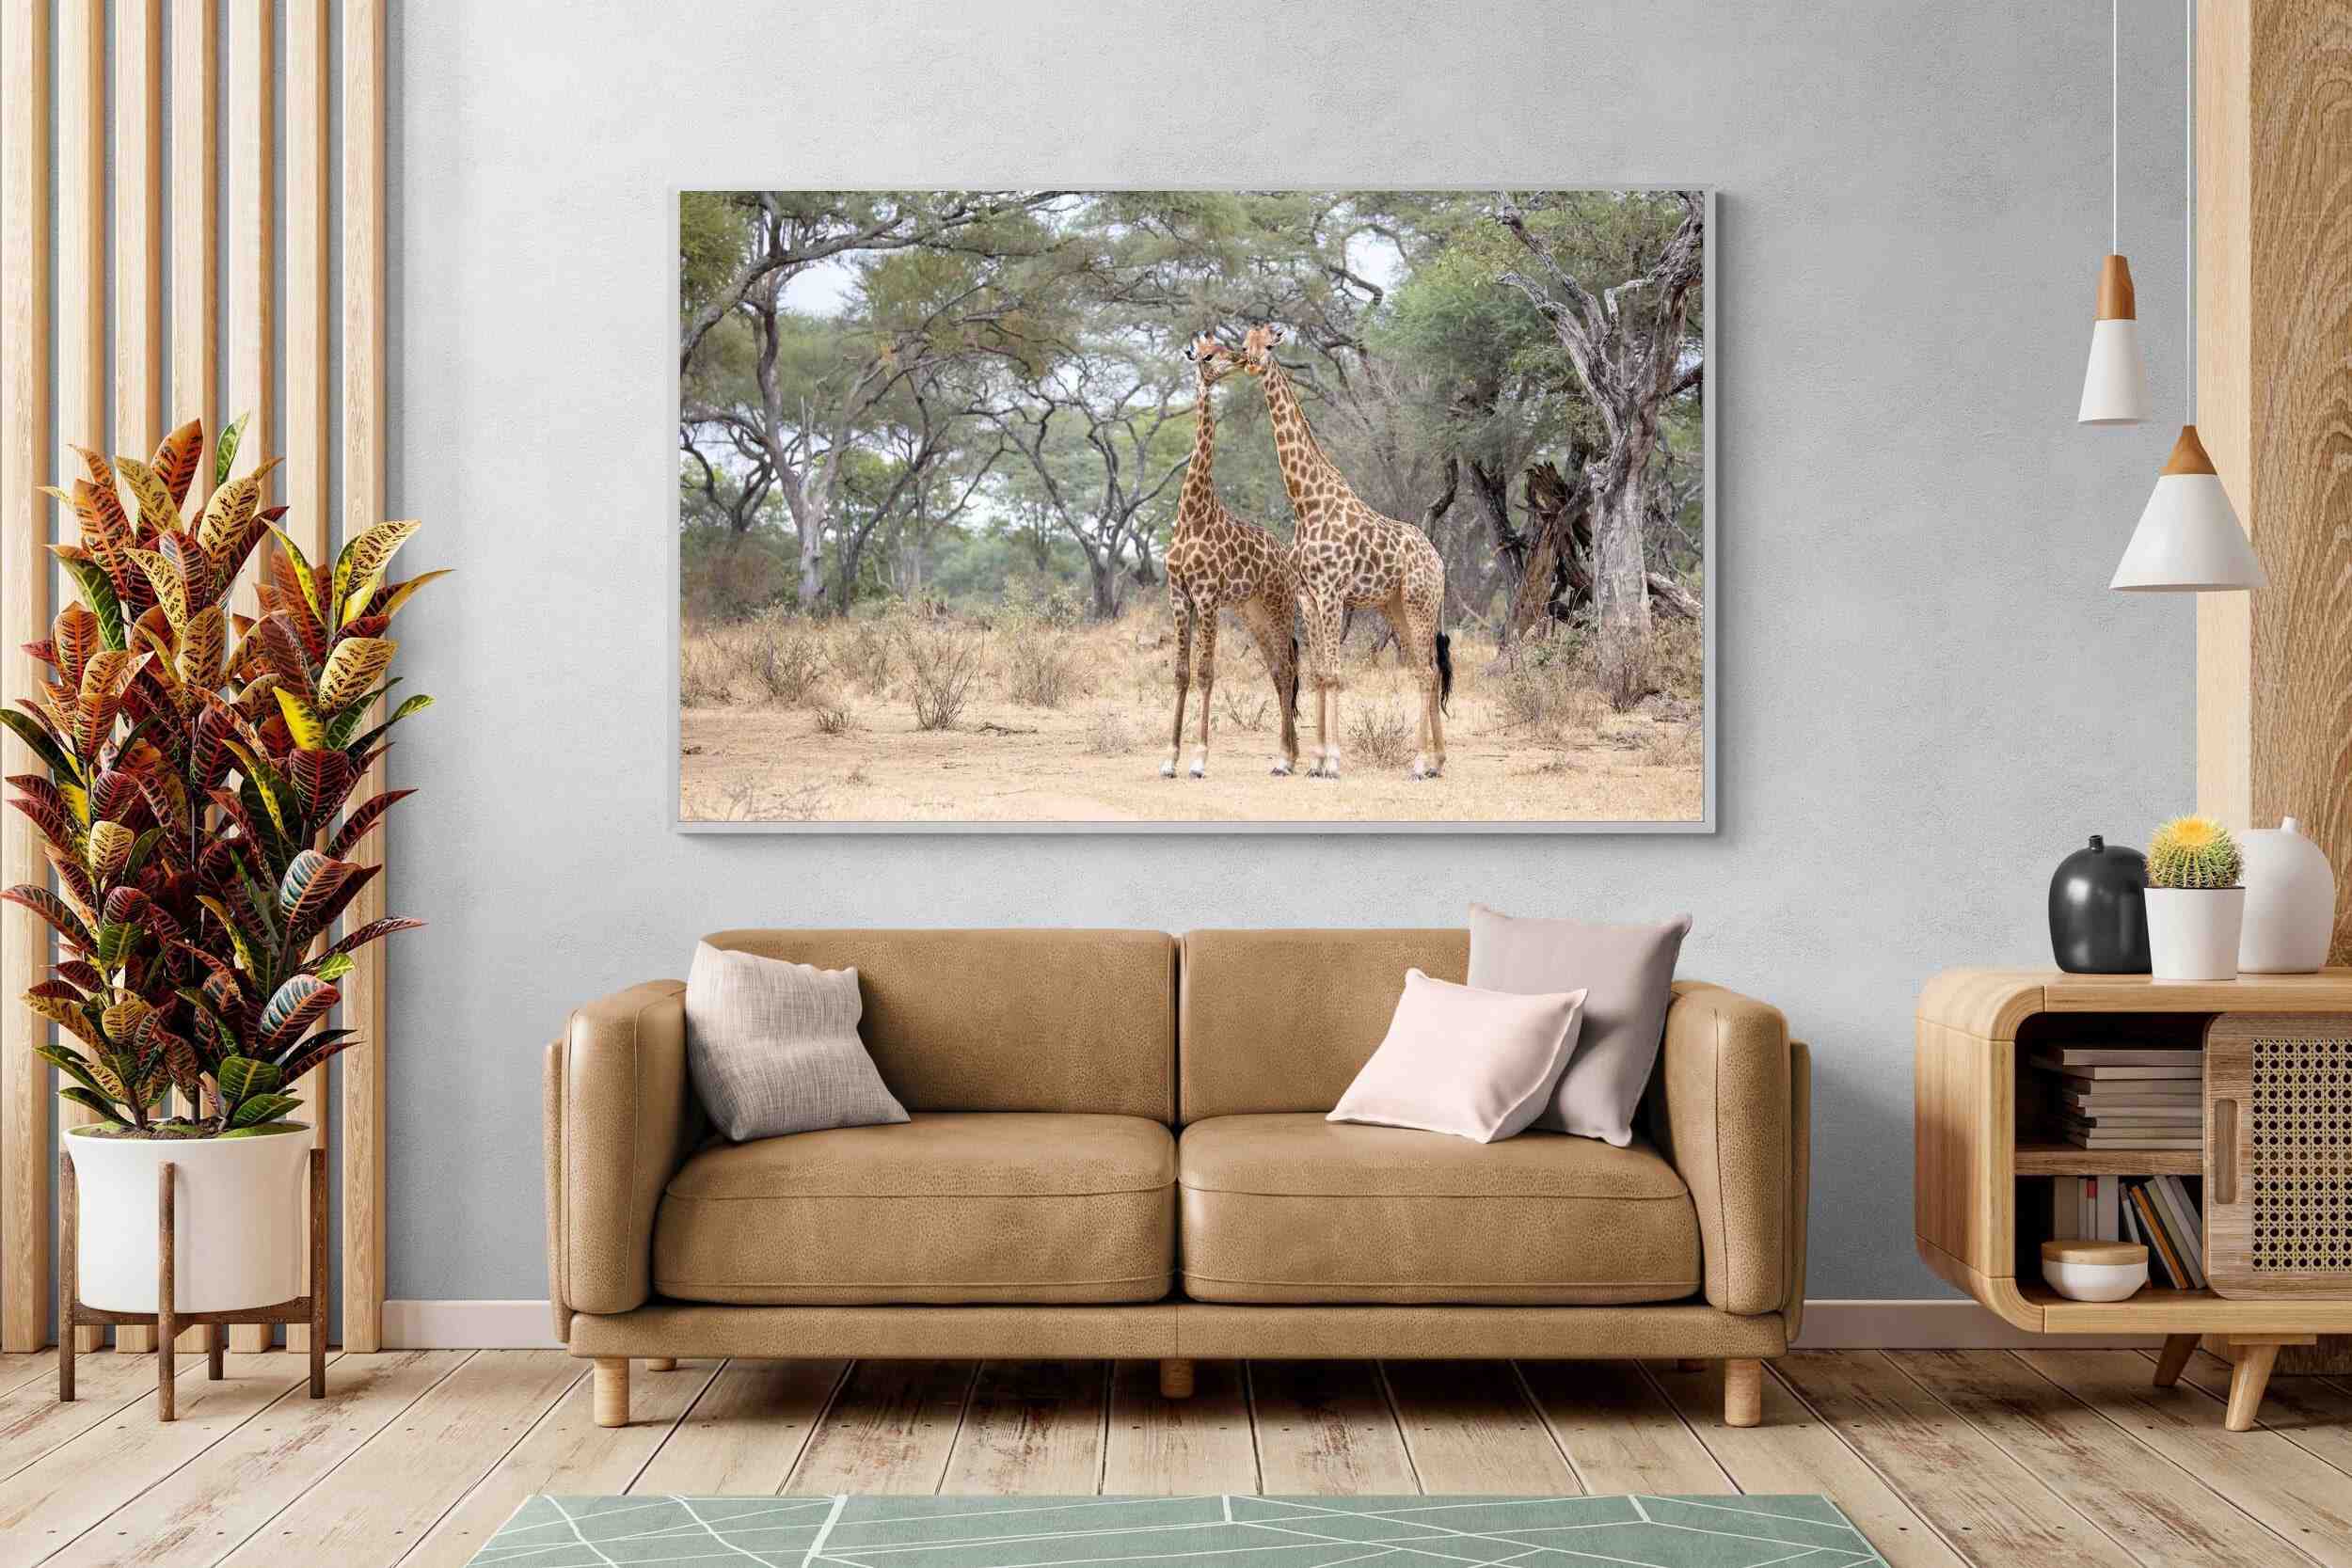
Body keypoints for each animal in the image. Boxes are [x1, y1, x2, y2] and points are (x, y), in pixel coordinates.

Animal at [1160, 334, 1301, 778]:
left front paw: (1199, 760)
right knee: (1277, 670)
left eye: (1225, 347)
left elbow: (1206, 673)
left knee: (1288, 669)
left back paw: (1285, 759)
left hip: (1279, 605)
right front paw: (1169, 759)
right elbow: (1182, 673)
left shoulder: (1206, 595)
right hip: (1251, 611)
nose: (1240, 359)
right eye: (1207, 354)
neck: (1192, 513)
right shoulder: (1179, 595)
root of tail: (1285, 559)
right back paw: (1290, 755)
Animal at [1233, 323, 1451, 779]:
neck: (1306, 501)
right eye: (1245, 344)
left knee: (1426, 672)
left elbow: (1334, 673)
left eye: (1269, 343)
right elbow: (1319, 672)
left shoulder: (1332, 591)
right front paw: (1315, 761)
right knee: (1429, 670)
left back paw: (1419, 763)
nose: (1252, 363)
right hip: (1395, 606)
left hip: (1419, 602)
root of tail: (1439, 561)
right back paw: (1437, 761)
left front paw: (1332, 762)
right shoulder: (1308, 596)